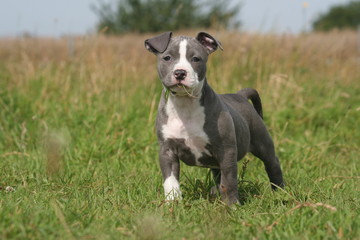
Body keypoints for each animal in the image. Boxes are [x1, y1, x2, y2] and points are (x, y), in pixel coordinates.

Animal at [144, 31, 284, 204]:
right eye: (167, 58)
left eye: (196, 59)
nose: (180, 73)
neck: (185, 104)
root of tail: (240, 95)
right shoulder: (167, 150)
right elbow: (170, 181)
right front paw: (173, 203)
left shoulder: (226, 150)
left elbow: (229, 179)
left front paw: (232, 205)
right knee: (218, 175)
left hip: (262, 142)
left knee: (272, 163)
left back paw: (280, 192)